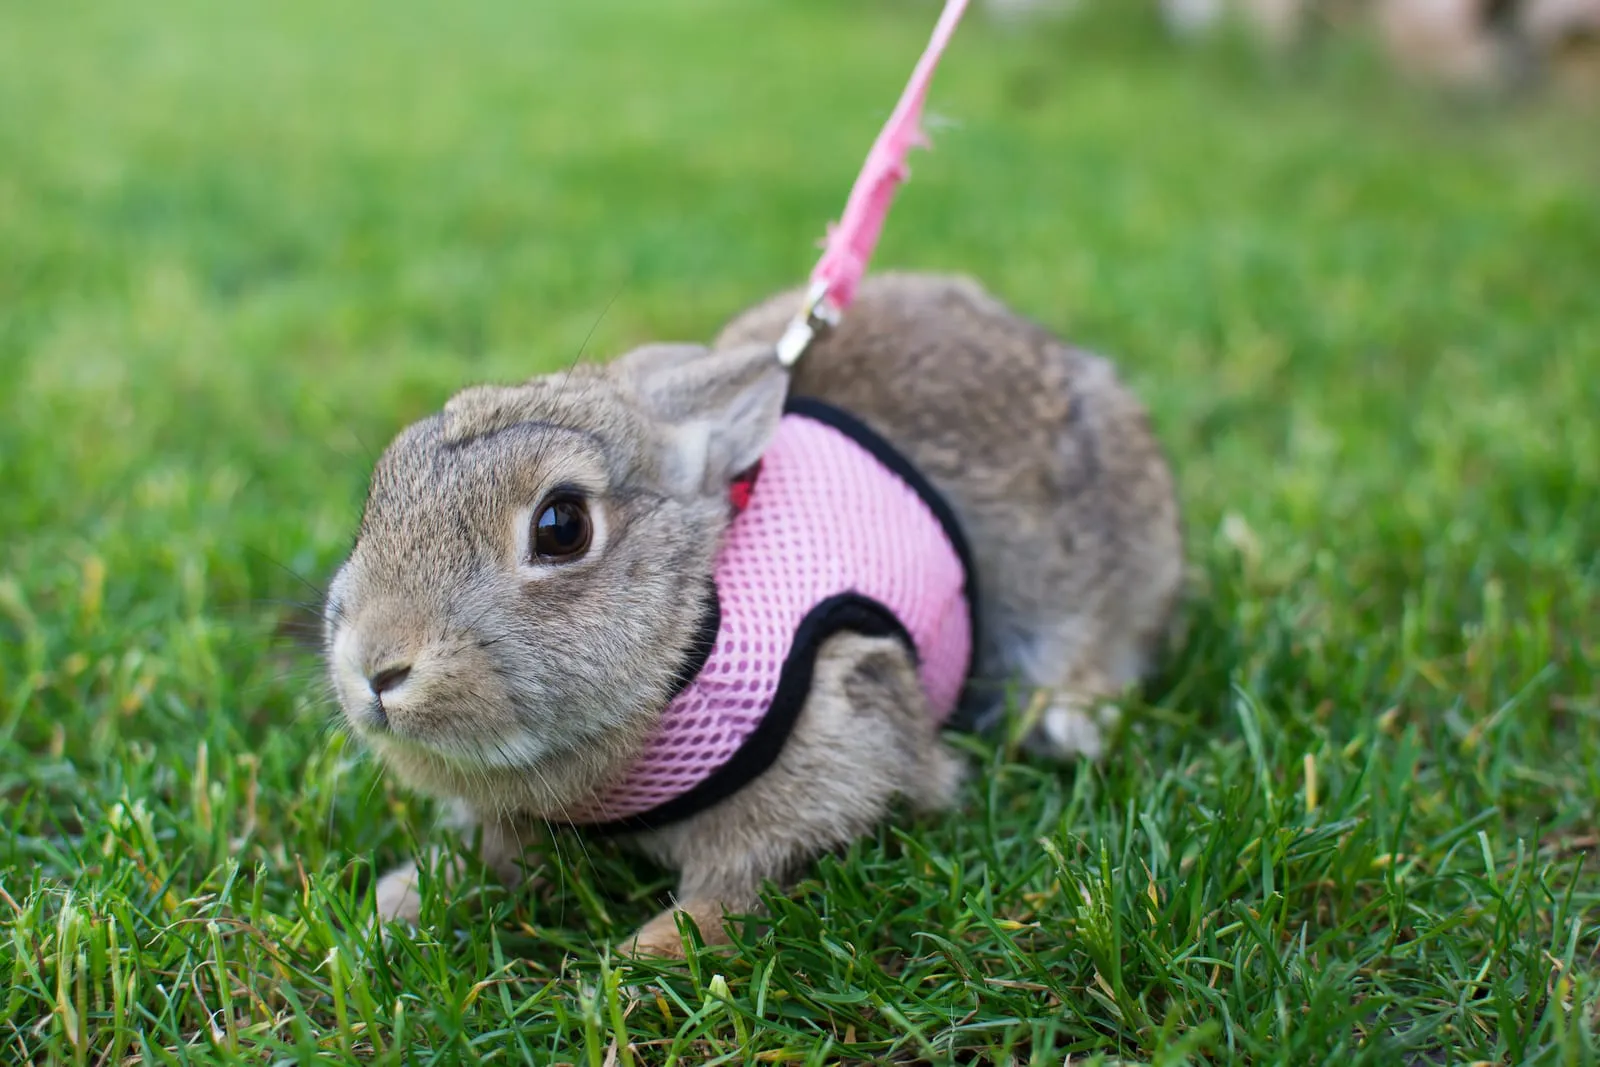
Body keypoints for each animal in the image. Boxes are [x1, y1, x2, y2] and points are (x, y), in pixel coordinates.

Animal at [323, 271, 1183, 957]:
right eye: (385, 484)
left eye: (561, 526)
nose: (375, 666)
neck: (692, 637)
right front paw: (393, 909)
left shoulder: (838, 726)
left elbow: (738, 883)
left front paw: (643, 958)